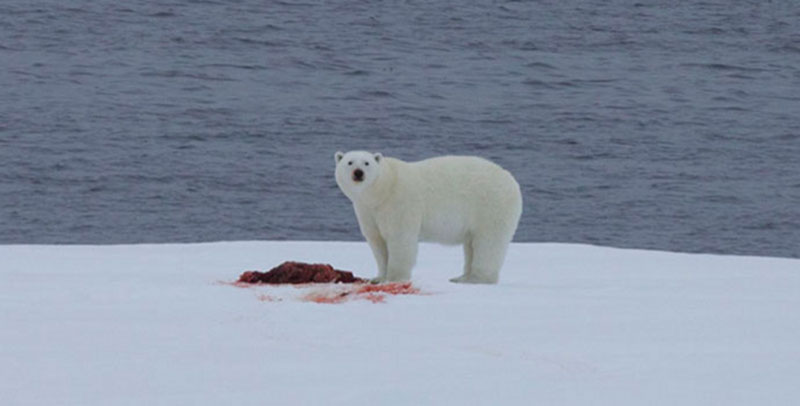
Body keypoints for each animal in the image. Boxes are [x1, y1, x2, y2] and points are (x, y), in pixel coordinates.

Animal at [334, 151, 520, 284]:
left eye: (367, 163)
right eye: (349, 162)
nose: (358, 173)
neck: (384, 188)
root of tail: (512, 181)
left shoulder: (399, 203)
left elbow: (400, 239)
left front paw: (394, 277)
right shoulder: (368, 211)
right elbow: (377, 242)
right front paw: (378, 277)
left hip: (490, 206)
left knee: (488, 243)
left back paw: (476, 278)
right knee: (472, 245)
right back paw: (461, 277)